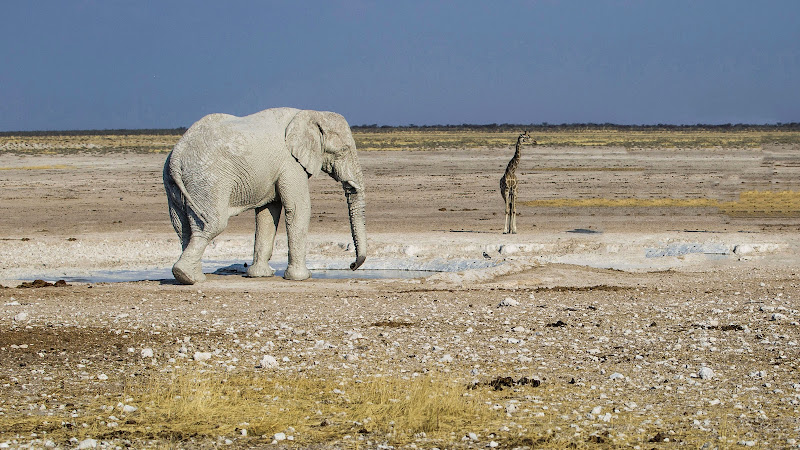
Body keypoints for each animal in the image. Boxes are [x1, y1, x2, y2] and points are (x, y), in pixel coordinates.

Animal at [163, 107, 368, 284]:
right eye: (343, 151)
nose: (351, 265)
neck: (311, 114)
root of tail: (177, 154)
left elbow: (267, 213)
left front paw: (260, 275)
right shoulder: (291, 163)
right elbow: (298, 208)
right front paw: (301, 277)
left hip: (174, 183)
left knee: (182, 228)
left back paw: (191, 277)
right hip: (208, 179)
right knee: (212, 224)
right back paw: (188, 277)